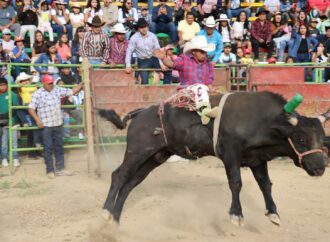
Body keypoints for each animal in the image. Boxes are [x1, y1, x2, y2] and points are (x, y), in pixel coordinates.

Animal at [99, 91, 328, 227]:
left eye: (322, 138)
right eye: (301, 139)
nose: (320, 168)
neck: (263, 121)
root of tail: (140, 113)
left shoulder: (257, 159)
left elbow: (265, 184)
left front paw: (273, 213)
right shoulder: (230, 153)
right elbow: (235, 182)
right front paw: (236, 214)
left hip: (155, 157)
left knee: (131, 183)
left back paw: (115, 219)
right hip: (138, 150)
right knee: (119, 176)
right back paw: (106, 211)